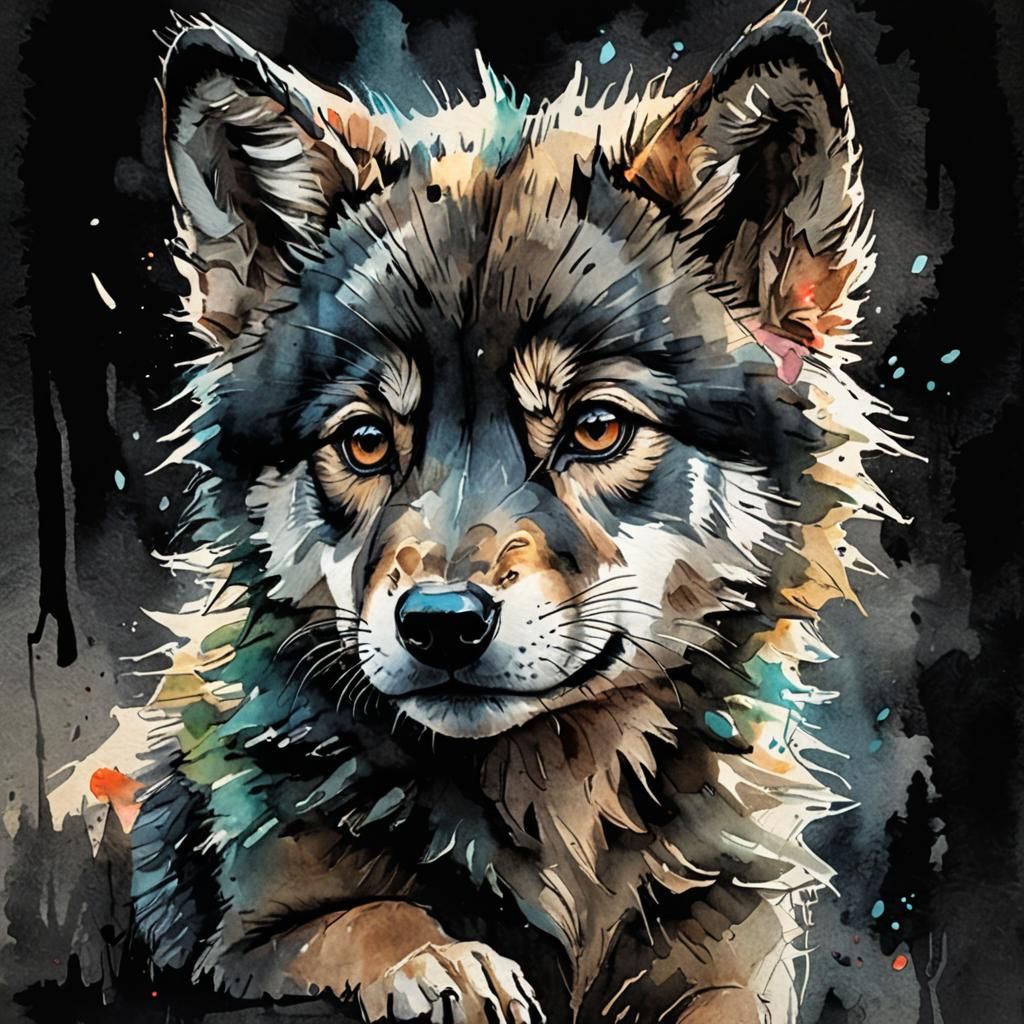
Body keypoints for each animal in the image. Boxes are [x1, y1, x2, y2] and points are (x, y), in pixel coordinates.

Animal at [125, 3, 903, 1021]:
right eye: (366, 441)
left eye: (597, 428)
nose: (440, 624)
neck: (556, 807)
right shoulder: (242, 937)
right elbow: (358, 919)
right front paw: (442, 964)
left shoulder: (734, 969)